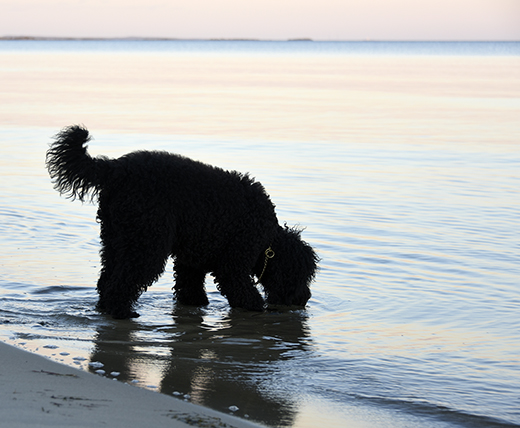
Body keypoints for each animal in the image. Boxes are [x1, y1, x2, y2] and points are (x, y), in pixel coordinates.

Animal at [46, 125, 316, 320]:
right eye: (301, 275)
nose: (305, 299)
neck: (268, 239)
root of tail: (115, 168)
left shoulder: (192, 260)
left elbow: (190, 287)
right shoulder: (234, 261)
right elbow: (241, 289)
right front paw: (256, 308)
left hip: (116, 239)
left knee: (107, 279)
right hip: (147, 242)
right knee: (122, 282)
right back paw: (123, 312)